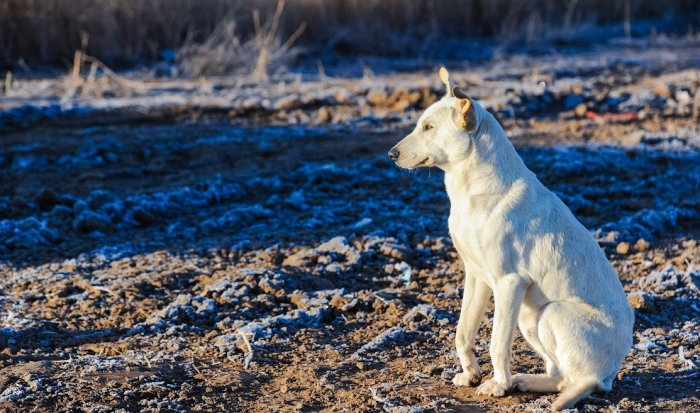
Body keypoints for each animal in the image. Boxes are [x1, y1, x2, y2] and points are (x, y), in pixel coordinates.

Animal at [388, 67, 636, 408]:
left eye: (428, 127)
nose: (391, 154)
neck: (470, 190)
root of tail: (612, 370)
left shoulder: (509, 282)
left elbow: (497, 342)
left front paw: (498, 386)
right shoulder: (476, 276)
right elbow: (463, 332)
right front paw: (471, 375)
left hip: (550, 312)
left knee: (582, 381)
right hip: (530, 319)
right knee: (563, 378)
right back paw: (527, 381)